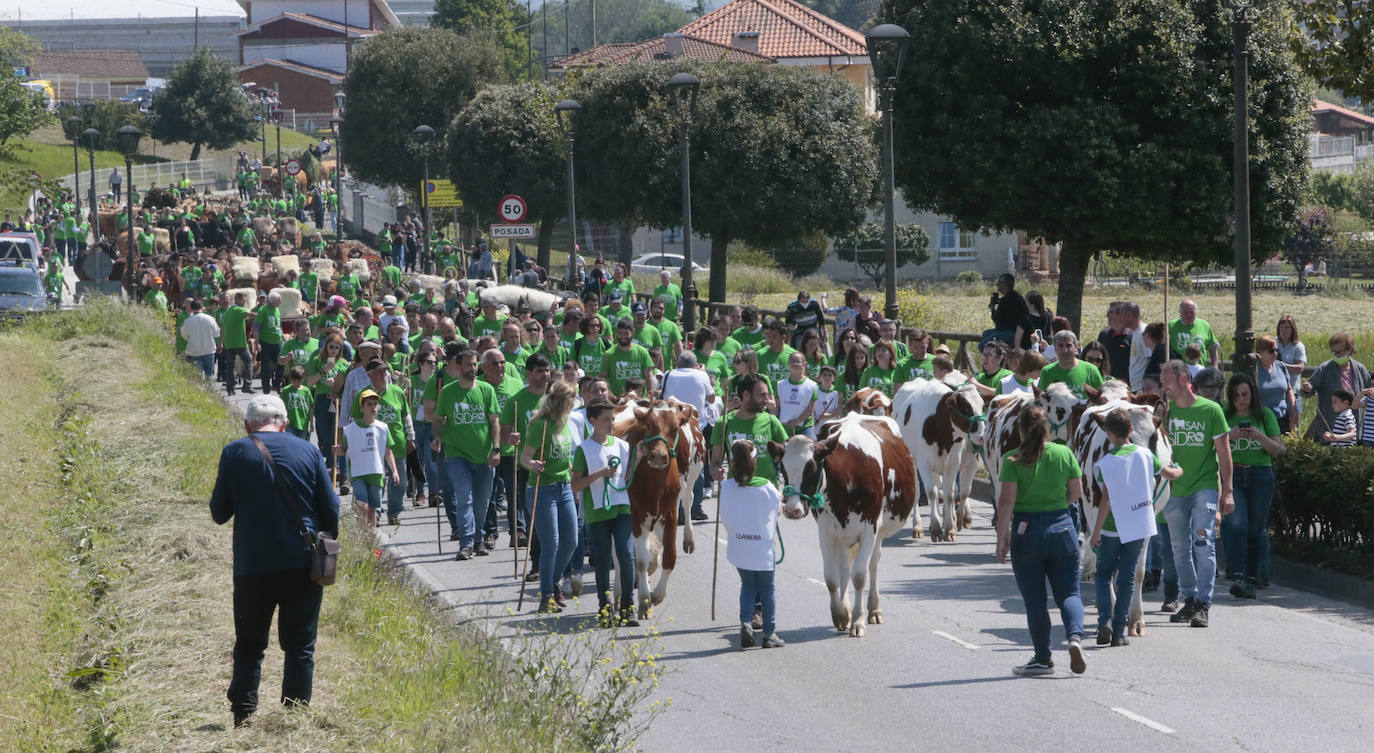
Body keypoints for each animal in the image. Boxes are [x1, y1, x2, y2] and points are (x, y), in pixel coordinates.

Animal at [612, 401, 703, 618]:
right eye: (650, 427)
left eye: (675, 428)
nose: (658, 456)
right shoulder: (635, 517)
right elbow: (641, 561)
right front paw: (645, 599)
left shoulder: (669, 515)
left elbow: (669, 557)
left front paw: (657, 596)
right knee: (617, 556)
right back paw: (618, 595)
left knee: (688, 500)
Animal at [774, 412, 912, 634]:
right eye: (784, 470)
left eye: (812, 469)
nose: (792, 510)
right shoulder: (826, 530)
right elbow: (831, 578)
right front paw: (841, 615)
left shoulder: (870, 528)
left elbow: (859, 576)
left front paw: (858, 621)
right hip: (842, 535)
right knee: (844, 567)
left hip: (878, 532)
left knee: (873, 564)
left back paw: (874, 610)